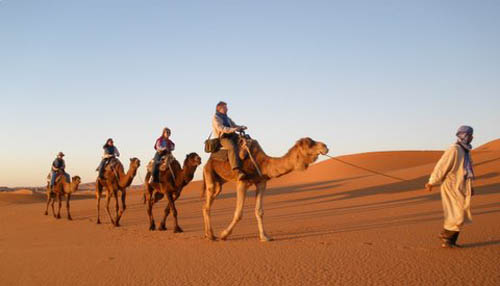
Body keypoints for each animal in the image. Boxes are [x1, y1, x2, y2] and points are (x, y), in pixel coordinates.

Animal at [201, 136, 330, 241]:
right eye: (310, 144)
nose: (325, 146)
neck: (262, 163)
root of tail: (207, 162)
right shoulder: (242, 182)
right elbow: (239, 213)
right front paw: (224, 234)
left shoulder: (261, 183)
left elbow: (259, 211)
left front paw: (264, 237)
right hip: (209, 173)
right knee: (208, 203)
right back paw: (211, 235)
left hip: (219, 183)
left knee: (206, 204)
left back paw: (208, 234)